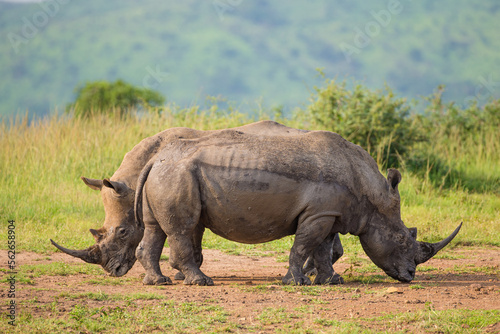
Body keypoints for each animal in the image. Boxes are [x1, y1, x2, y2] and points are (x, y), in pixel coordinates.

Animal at [52, 121, 346, 284]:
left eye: (123, 232)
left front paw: (183, 274)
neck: (134, 181)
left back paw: (310, 274)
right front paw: (183, 274)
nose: (112, 270)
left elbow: (191, 238)